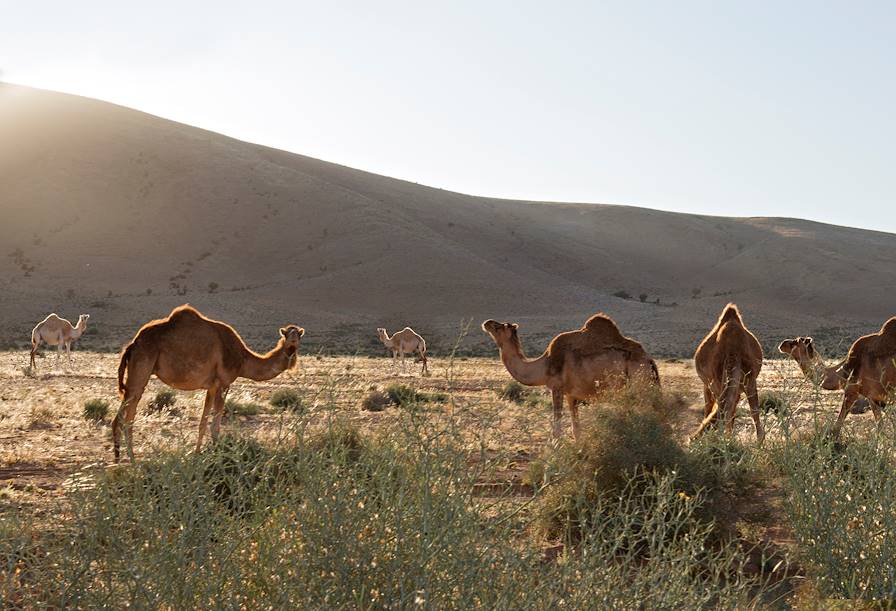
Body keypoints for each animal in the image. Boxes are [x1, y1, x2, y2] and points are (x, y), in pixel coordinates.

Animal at [114, 306, 304, 464]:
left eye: (299, 335)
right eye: (287, 334)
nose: (292, 345)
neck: (243, 359)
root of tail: (133, 344)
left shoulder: (211, 387)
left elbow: (203, 423)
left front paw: (197, 455)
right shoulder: (223, 383)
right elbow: (215, 426)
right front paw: (219, 458)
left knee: (126, 415)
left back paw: (123, 458)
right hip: (142, 368)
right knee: (124, 417)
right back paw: (128, 461)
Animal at [484, 316, 656, 440]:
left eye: (500, 326)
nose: (487, 322)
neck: (544, 365)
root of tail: (649, 361)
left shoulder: (557, 388)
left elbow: (557, 428)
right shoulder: (571, 395)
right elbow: (576, 429)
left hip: (639, 383)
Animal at [692, 304, 764, 442]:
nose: (692, 439)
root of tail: (733, 348)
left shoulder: (709, 385)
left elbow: (710, 408)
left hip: (718, 382)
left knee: (723, 409)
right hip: (748, 379)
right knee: (749, 410)